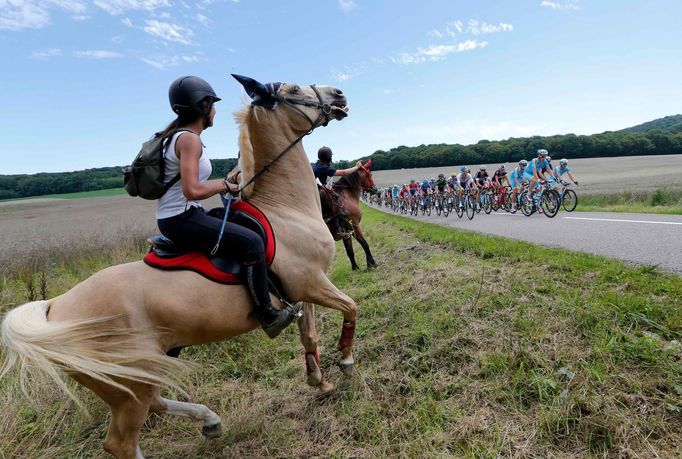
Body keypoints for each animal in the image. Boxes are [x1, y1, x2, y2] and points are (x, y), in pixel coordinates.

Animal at [1, 76, 356, 459]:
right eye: (292, 90)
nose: (339, 95)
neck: (286, 208)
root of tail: (55, 307)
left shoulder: (303, 290)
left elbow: (310, 336)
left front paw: (319, 381)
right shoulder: (313, 283)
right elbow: (350, 307)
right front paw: (346, 362)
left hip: (137, 376)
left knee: (154, 405)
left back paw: (210, 421)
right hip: (130, 384)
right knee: (121, 442)